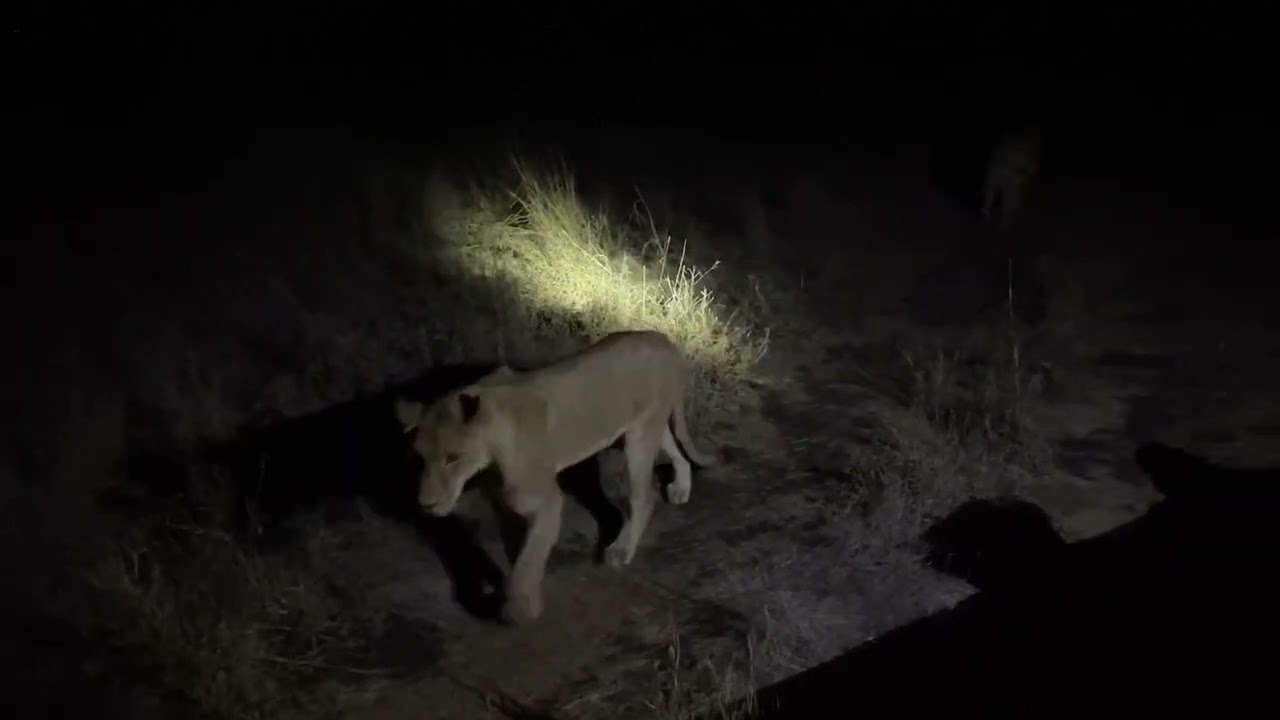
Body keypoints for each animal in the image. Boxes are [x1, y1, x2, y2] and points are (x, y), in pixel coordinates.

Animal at [393, 330, 718, 624]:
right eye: (420, 458)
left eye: (452, 458)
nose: (425, 504)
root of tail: (664, 341)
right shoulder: (502, 500)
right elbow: (518, 550)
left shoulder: (547, 500)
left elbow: (529, 558)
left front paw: (521, 609)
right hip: (648, 425)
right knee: (674, 447)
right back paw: (681, 487)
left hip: (639, 435)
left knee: (643, 496)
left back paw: (622, 549)